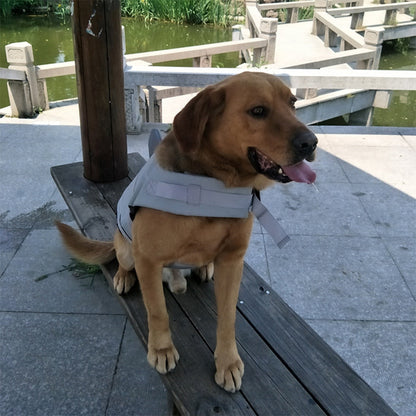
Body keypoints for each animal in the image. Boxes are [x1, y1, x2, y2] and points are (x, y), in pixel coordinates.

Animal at [54, 72, 316, 394]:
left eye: (293, 103)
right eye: (258, 111)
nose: (311, 142)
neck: (216, 184)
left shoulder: (232, 261)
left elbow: (227, 318)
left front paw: (227, 361)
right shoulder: (148, 259)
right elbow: (157, 312)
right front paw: (161, 349)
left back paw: (202, 268)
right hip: (127, 249)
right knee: (122, 260)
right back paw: (124, 276)